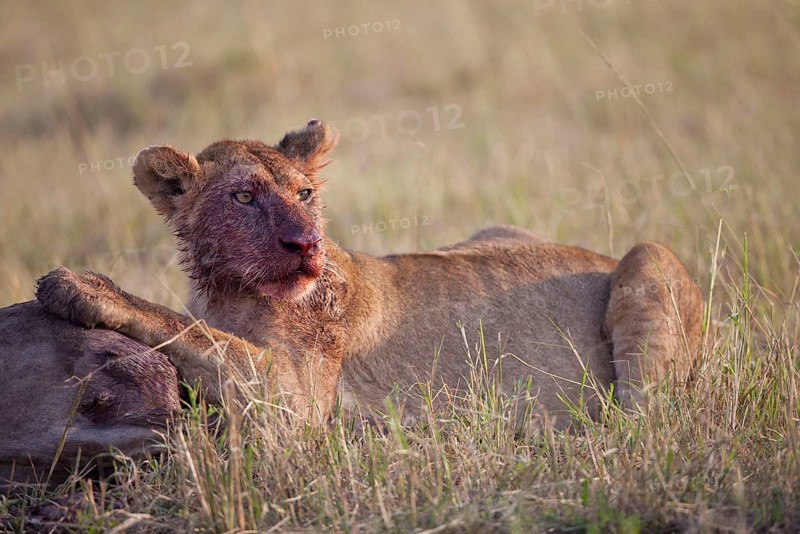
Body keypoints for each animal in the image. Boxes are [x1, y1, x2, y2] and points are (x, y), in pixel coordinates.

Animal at [35, 119, 704, 428]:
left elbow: (195, 332)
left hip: (647, 258)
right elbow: (201, 332)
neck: (228, 292)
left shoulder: (298, 399)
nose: (306, 244)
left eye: (305, 193)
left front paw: (80, 287)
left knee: (645, 420)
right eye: (245, 198)